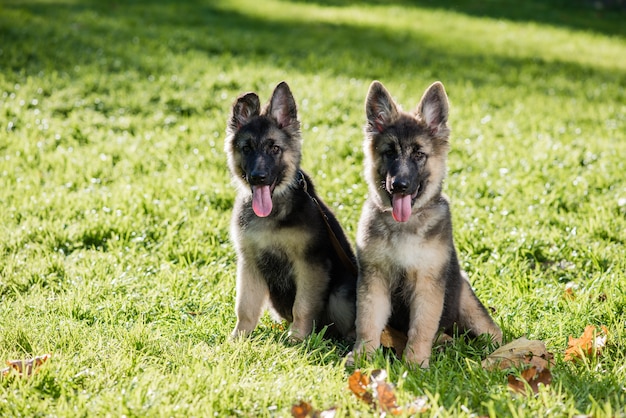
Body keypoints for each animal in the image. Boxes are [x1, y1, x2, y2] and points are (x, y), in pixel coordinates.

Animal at [224, 81, 356, 340]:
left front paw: (297, 337)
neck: (273, 211)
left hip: (341, 293)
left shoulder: (310, 264)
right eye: (247, 148)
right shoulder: (249, 263)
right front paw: (238, 337)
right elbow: (245, 306)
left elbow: (302, 306)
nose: (258, 177)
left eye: (275, 148)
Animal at [348, 80, 500, 368]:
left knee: (492, 332)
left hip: (466, 300)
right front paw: (363, 356)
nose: (400, 185)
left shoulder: (428, 285)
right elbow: (368, 321)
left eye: (419, 154)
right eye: (389, 153)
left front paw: (415, 364)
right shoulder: (374, 280)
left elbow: (421, 327)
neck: (404, 226)